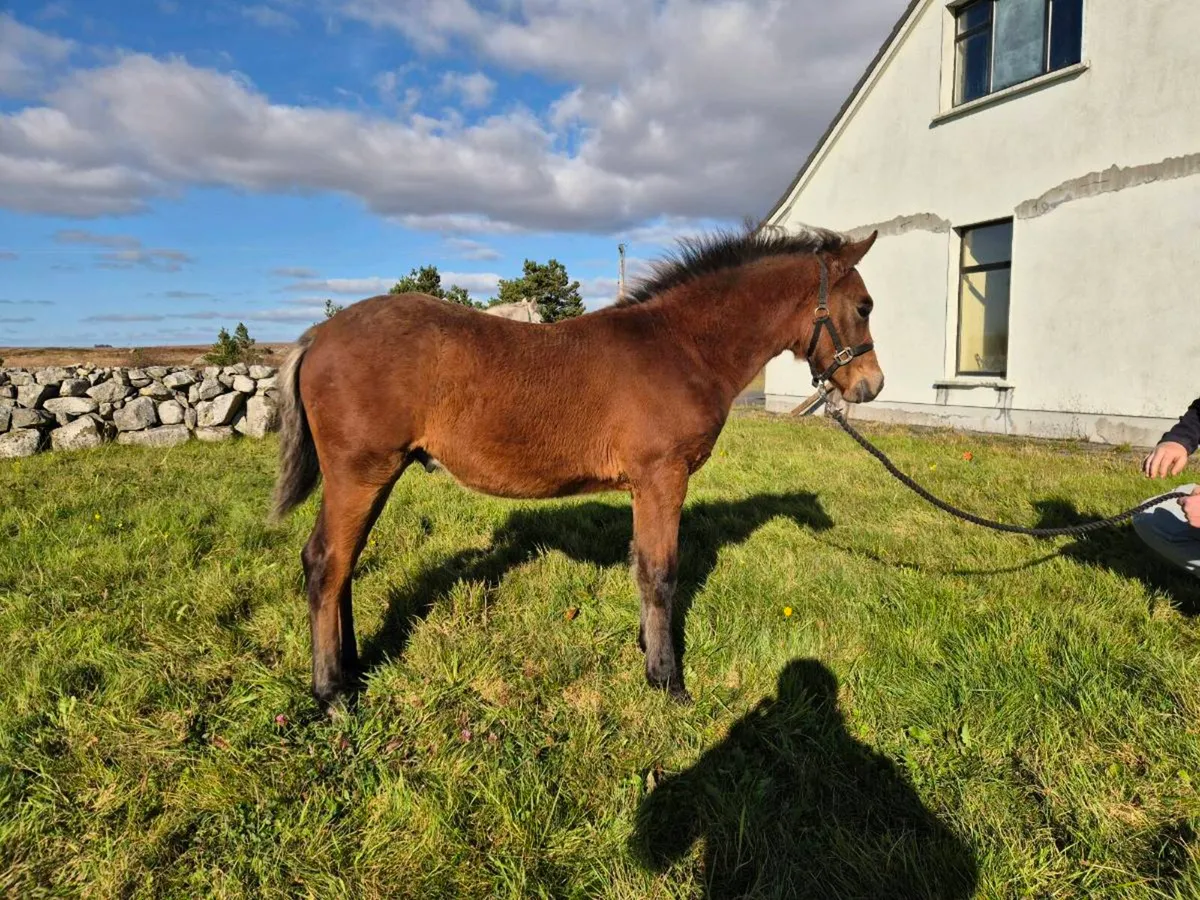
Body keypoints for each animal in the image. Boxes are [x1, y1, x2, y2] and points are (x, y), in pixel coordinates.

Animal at [268, 225, 885, 713]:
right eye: (864, 306)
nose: (871, 386)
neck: (681, 346)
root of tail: (317, 335)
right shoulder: (663, 476)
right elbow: (660, 572)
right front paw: (667, 681)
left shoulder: (645, 485)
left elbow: (642, 565)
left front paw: (647, 651)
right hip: (361, 472)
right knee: (325, 562)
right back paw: (332, 693)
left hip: (375, 476)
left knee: (344, 564)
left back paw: (352, 668)